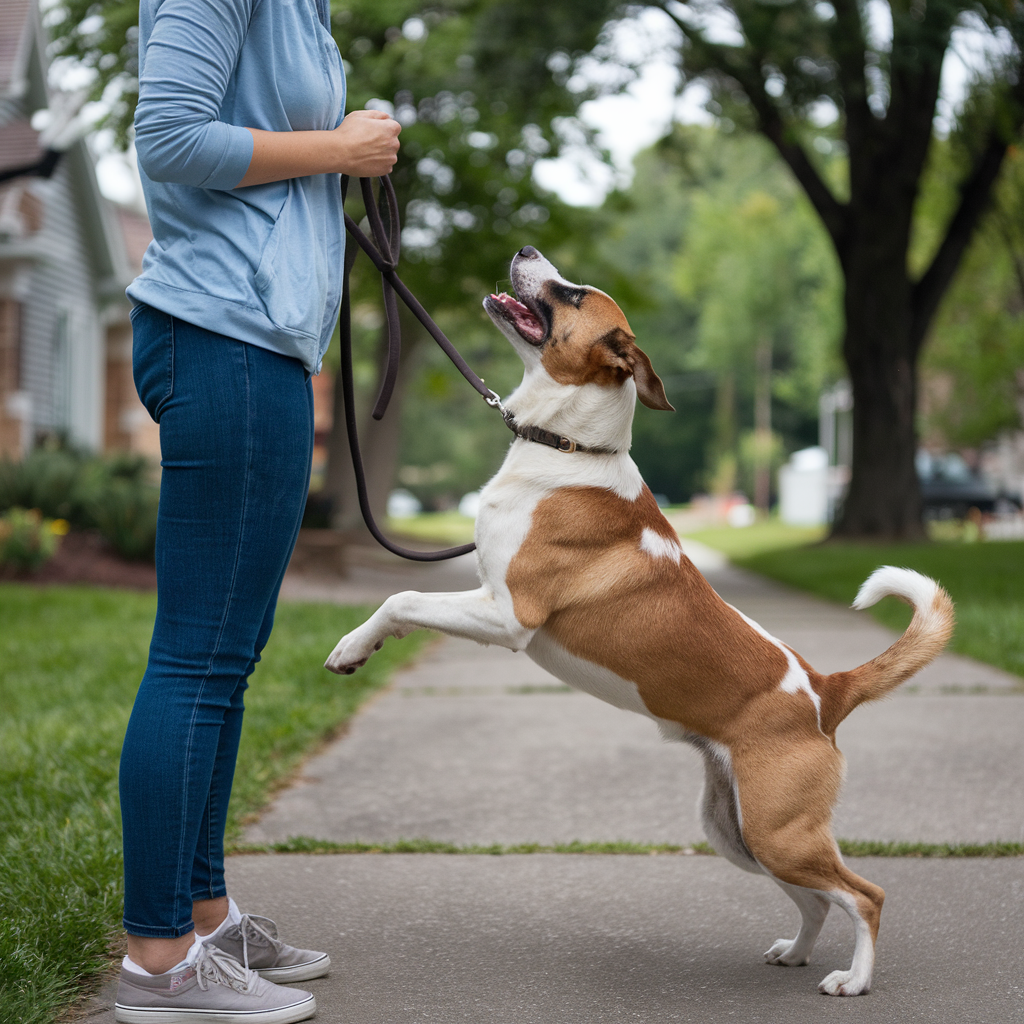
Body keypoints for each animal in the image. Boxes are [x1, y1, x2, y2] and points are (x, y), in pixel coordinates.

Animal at [323, 243, 954, 995]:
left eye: (573, 293)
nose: (526, 249)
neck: (567, 449)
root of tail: (825, 690)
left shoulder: (509, 616)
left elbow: (401, 599)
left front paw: (350, 648)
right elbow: (406, 603)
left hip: (779, 832)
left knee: (865, 895)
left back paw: (852, 981)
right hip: (741, 832)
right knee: (817, 901)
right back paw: (797, 954)